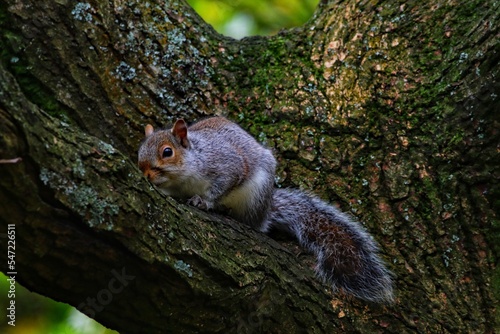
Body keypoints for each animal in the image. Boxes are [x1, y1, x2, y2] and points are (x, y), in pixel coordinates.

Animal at [138, 117, 394, 302]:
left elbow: (221, 186)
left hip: (255, 195)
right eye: (140, 153)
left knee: (255, 225)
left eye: (167, 152)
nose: (147, 174)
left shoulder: (226, 166)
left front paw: (204, 201)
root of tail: (266, 211)